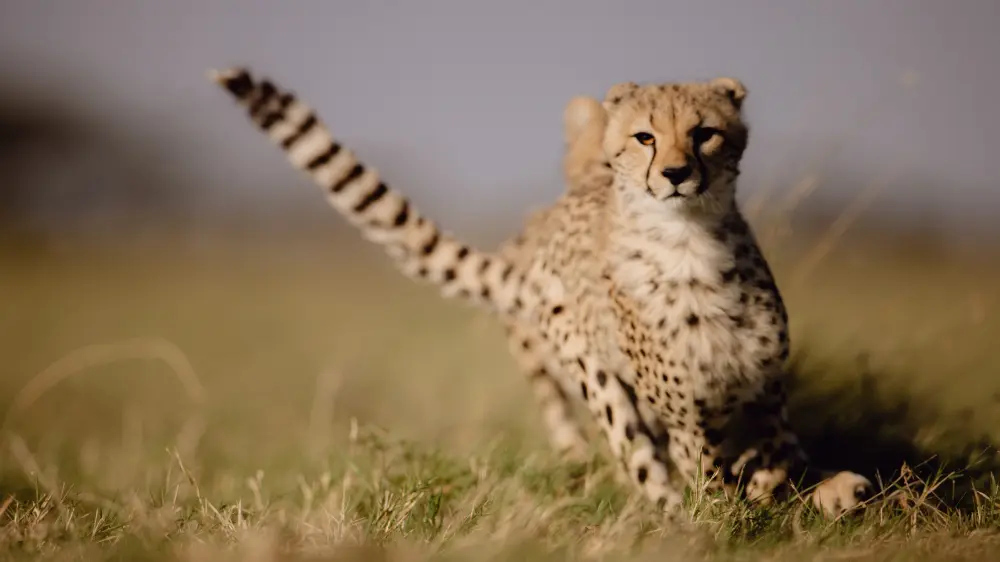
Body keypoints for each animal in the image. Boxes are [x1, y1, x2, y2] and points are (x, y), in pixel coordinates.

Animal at [209, 67, 874, 519]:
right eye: (645, 138)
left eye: (704, 133)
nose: (676, 173)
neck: (688, 244)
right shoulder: (683, 415)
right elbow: (705, 474)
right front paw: (726, 513)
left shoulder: (765, 391)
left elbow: (782, 456)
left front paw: (797, 486)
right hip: (595, 378)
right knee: (638, 461)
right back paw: (674, 519)